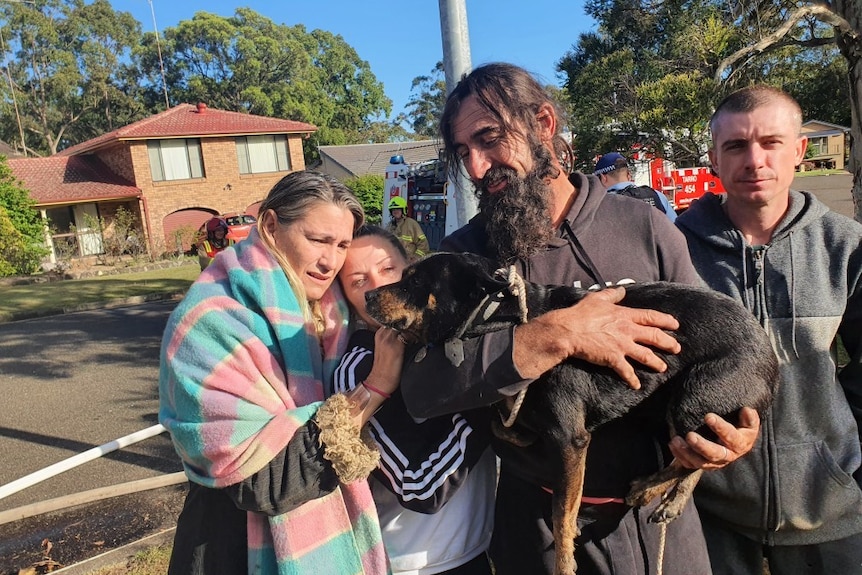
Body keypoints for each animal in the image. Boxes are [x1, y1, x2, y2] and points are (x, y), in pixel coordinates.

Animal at [366, 252, 784, 575]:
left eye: (414, 281)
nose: (368, 294)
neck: (499, 316)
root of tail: (769, 352)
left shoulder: (571, 440)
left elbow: (561, 515)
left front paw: (565, 563)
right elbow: (504, 425)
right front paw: (517, 428)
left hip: (693, 396)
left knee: (691, 454)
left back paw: (649, 488)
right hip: (668, 405)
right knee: (696, 455)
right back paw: (668, 498)